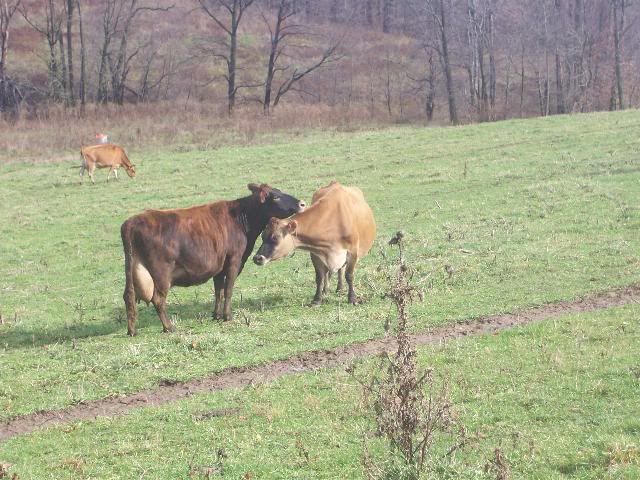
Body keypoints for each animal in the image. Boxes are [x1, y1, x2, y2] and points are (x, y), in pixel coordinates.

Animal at [120, 184, 306, 336]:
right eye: (275, 196)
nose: (302, 203)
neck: (241, 218)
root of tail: (131, 222)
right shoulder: (234, 261)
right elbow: (228, 290)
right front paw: (227, 316)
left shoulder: (219, 267)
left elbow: (219, 291)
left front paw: (216, 315)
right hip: (161, 273)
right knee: (158, 299)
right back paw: (169, 327)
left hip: (132, 270)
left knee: (129, 296)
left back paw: (132, 331)